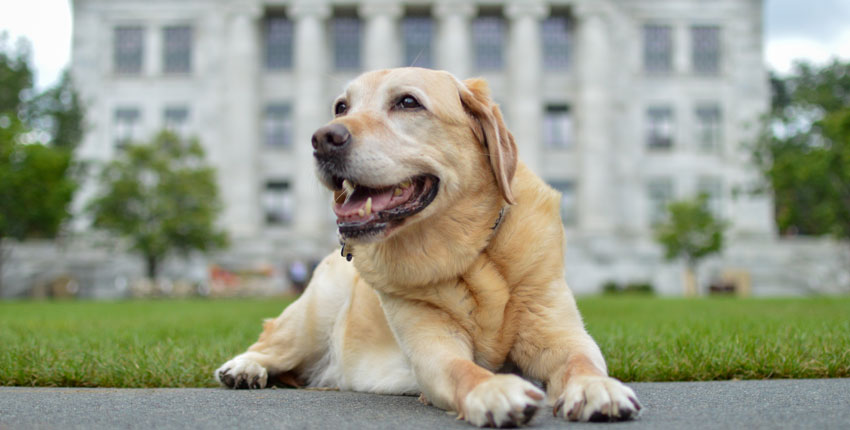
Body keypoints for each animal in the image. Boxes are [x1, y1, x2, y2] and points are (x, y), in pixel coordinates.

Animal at [215, 68, 640, 426]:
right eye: (341, 107)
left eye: (407, 102)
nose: (323, 138)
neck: (469, 256)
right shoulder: (433, 348)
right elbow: (463, 369)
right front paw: (494, 388)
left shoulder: (559, 331)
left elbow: (582, 360)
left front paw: (596, 388)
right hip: (311, 317)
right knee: (269, 340)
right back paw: (243, 369)